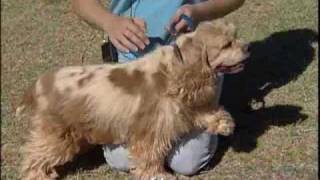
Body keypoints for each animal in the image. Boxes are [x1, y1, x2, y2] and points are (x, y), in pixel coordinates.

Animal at [16, 20, 249, 179]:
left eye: (235, 36)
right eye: (227, 44)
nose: (247, 47)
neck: (175, 69)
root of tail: (39, 84)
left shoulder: (182, 106)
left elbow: (204, 111)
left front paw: (224, 123)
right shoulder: (152, 128)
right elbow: (150, 156)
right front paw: (158, 175)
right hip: (56, 135)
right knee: (34, 155)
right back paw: (40, 175)